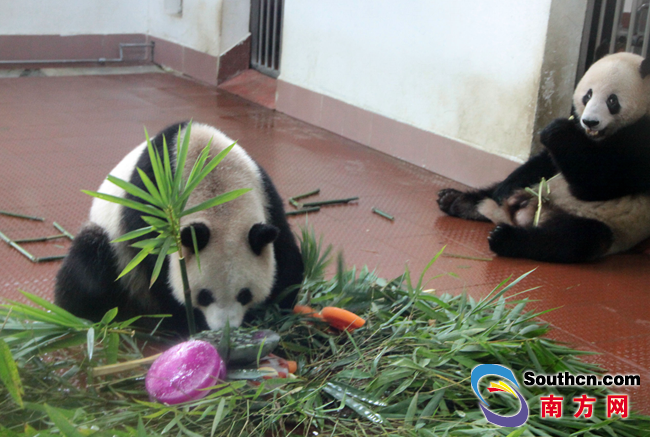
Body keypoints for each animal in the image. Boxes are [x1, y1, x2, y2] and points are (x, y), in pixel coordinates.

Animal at [54, 122, 302, 334]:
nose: (224, 328)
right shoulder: (150, 202)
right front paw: (185, 321)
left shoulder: (265, 194)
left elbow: (287, 260)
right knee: (90, 260)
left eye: (244, 294)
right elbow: (156, 270)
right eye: (204, 296)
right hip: (115, 254)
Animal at [438, 51, 650, 262]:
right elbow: (545, 162)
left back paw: (504, 238)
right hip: (532, 188)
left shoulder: (641, 143)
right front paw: (505, 187)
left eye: (612, 100)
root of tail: (521, 212)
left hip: (606, 225)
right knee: (493, 191)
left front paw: (557, 130)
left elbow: (598, 183)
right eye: (587, 96)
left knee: (570, 239)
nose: (589, 122)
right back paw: (455, 200)